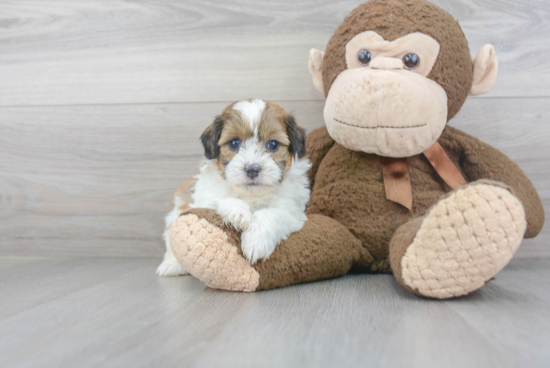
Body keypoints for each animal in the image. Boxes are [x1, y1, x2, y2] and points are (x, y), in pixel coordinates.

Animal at [157, 99, 312, 278]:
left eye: (273, 144)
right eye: (234, 143)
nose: (252, 169)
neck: (251, 195)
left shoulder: (292, 210)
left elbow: (271, 214)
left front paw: (256, 240)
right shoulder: (203, 199)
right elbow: (220, 199)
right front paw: (238, 213)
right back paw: (171, 265)